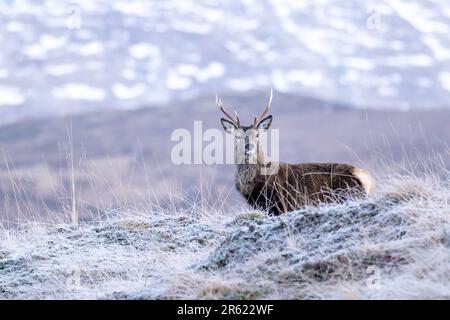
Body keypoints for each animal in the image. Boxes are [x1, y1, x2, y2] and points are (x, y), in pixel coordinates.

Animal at [218, 90, 376, 215]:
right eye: (237, 136)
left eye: (257, 135)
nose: (248, 146)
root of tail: (367, 179)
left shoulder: (279, 204)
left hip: (346, 192)